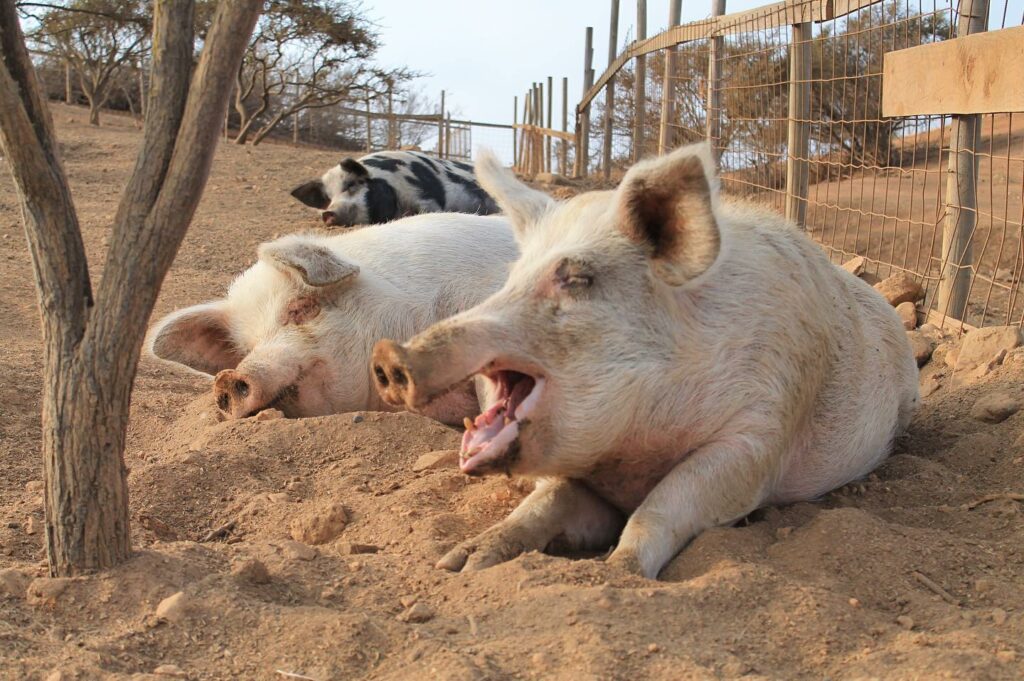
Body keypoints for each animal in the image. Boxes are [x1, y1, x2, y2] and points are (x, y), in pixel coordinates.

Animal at [370, 144, 921, 577]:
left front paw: (618, 572)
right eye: (510, 278)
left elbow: (667, 505)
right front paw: (459, 563)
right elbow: (540, 505)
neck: (632, 452)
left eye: (578, 278)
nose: (388, 354)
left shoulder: (760, 435)